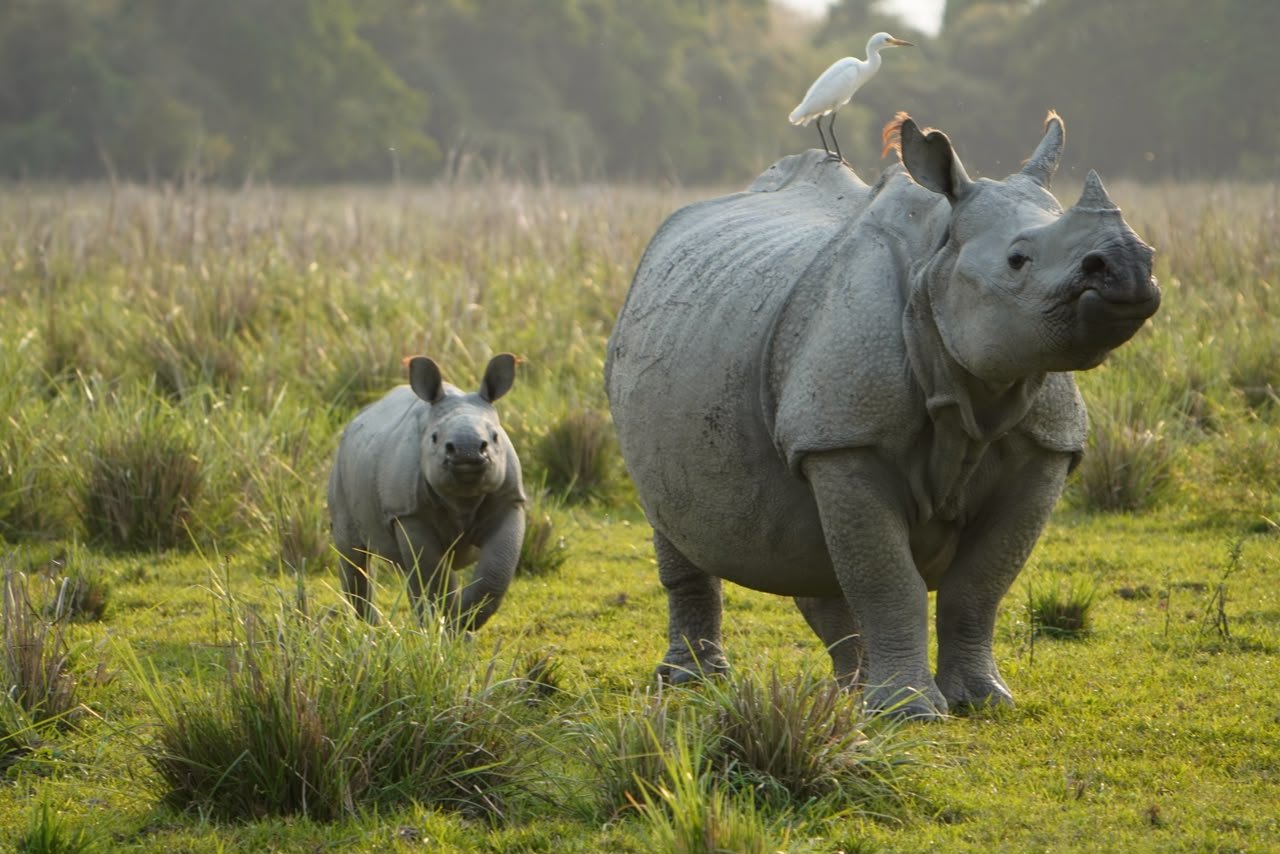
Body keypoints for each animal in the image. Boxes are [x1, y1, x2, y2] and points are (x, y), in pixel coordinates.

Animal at [328, 354, 526, 629]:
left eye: (495, 437)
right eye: (434, 437)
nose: (467, 451)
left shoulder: (509, 501)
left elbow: (494, 575)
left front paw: (462, 622)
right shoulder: (409, 513)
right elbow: (433, 580)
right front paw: (446, 626)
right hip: (341, 467)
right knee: (354, 553)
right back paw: (376, 630)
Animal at [605, 113, 1159, 718]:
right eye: (1018, 260)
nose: (1130, 265)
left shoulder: (1047, 444)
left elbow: (978, 586)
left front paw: (984, 702)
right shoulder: (847, 439)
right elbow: (888, 579)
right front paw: (910, 712)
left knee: (817, 552)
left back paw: (851, 694)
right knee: (673, 521)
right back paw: (693, 682)